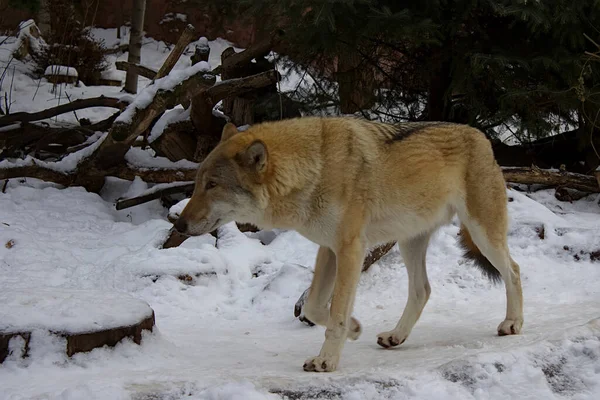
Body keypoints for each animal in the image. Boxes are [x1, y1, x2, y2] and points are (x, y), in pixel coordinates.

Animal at [175, 115, 524, 372]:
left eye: (212, 185)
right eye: (198, 182)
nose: (178, 224)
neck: (314, 168)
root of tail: (482, 137)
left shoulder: (350, 248)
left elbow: (336, 311)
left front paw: (326, 360)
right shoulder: (328, 249)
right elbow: (316, 308)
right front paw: (355, 329)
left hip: (482, 234)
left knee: (515, 270)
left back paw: (513, 323)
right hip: (409, 242)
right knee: (422, 290)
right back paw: (396, 336)